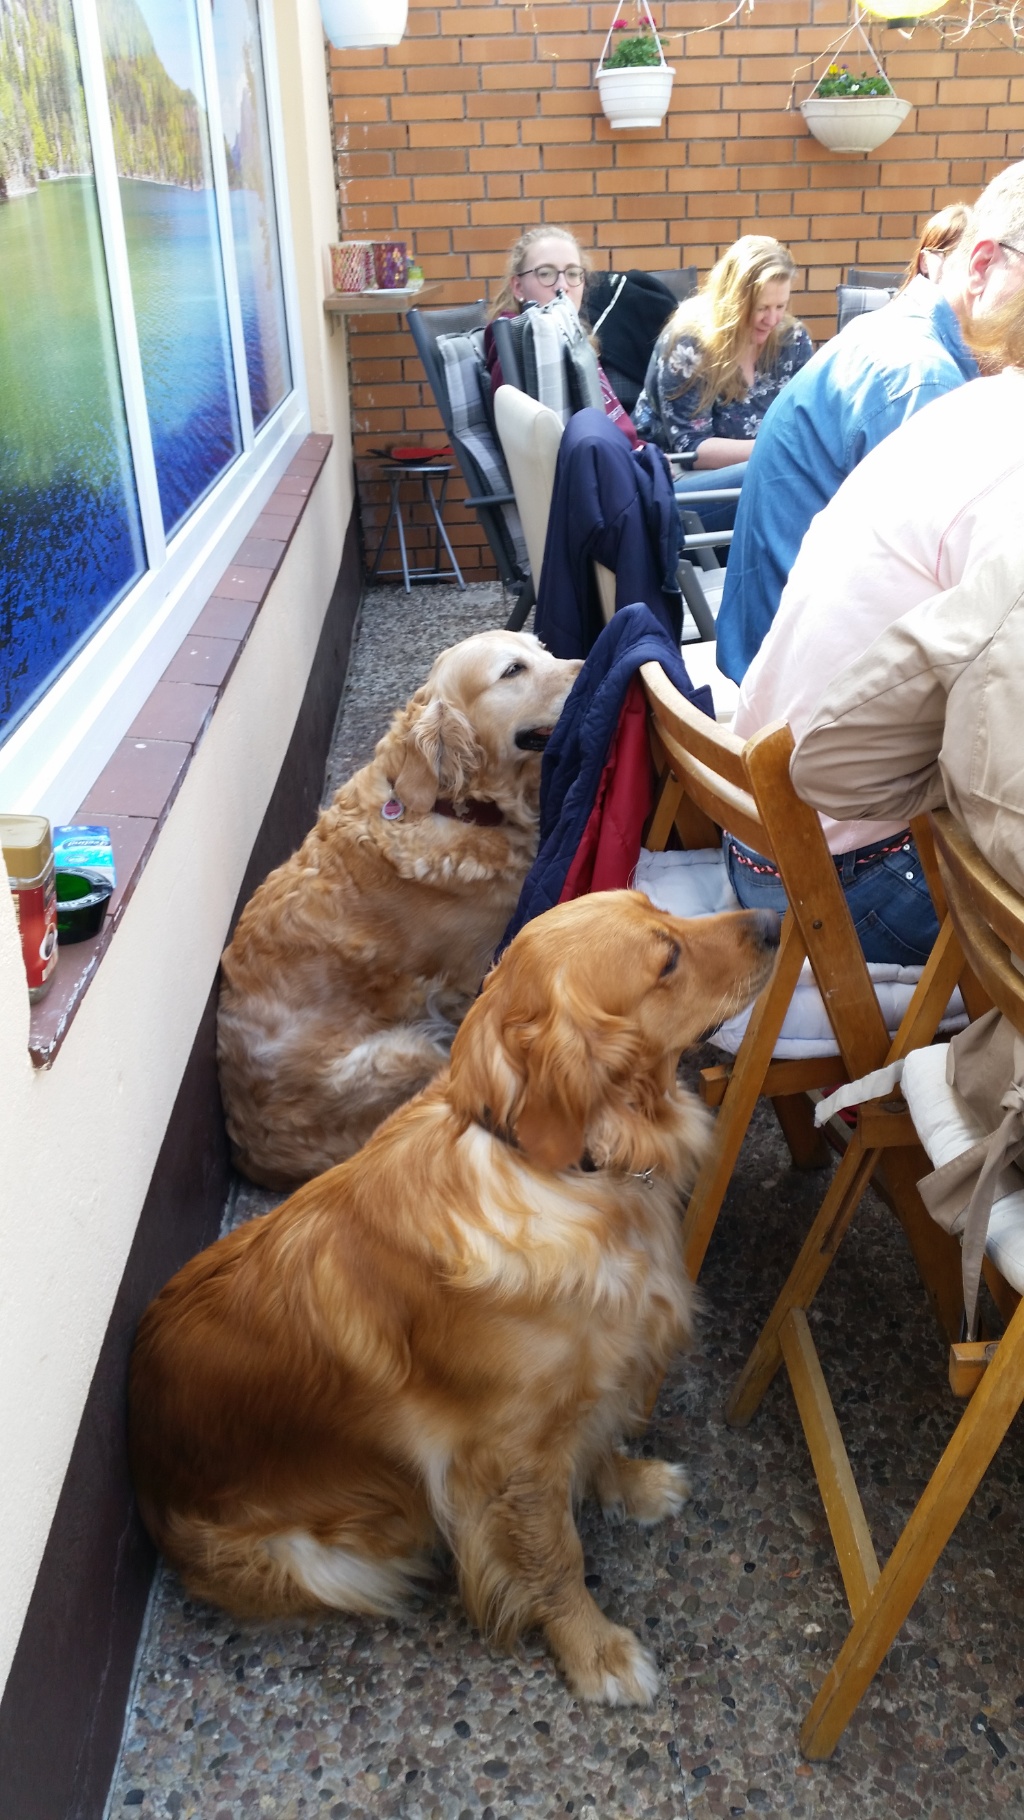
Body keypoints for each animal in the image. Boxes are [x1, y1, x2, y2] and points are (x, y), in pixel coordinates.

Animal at [131, 890, 780, 1705]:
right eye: (667, 958)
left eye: (661, 906)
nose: (776, 923)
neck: (566, 1167)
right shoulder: (505, 1454)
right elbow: (555, 1554)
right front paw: (593, 1649)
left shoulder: (586, 1384)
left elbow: (596, 1439)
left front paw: (628, 1484)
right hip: (336, 1561)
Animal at [217, 630, 580, 1188]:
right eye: (513, 670)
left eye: (543, 648)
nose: (588, 662)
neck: (457, 807)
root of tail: (252, 1156)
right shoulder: (481, 966)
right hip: (401, 1055)